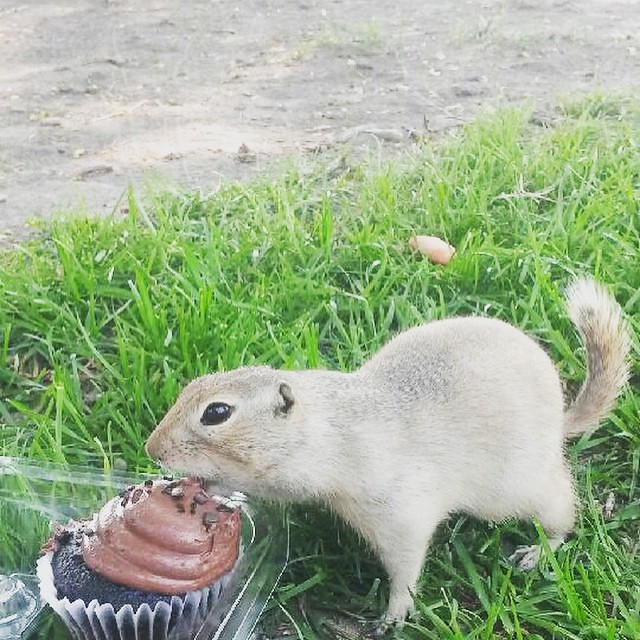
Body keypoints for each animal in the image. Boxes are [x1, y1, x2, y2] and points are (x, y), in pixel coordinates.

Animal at [146, 278, 632, 620]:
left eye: (217, 413)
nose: (153, 448)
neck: (331, 428)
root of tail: (561, 420)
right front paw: (194, 490)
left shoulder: (398, 512)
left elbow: (407, 563)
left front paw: (395, 612)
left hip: (516, 487)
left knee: (562, 507)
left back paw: (540, 547)